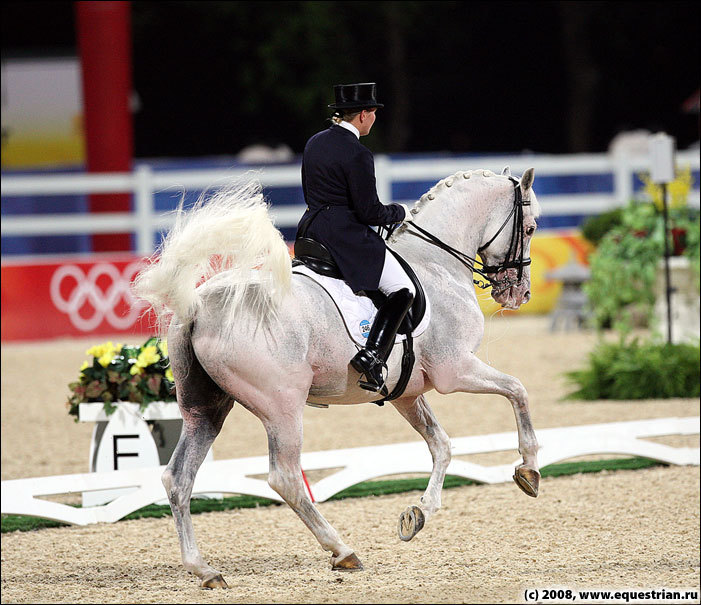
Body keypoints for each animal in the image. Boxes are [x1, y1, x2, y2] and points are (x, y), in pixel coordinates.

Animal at [135, 165, 540, 584]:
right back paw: (342, 550)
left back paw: (203, 569)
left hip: (206, 409)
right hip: (282, 408)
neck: (436, 264)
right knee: (285, 478)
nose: (520, 295)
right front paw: (528, 470)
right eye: (530, 228)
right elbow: (517, 390)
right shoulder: (455, 369)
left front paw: (418, 514)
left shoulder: (407, 393)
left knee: (178, 478)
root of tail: (198, 304)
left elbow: (441, 445)